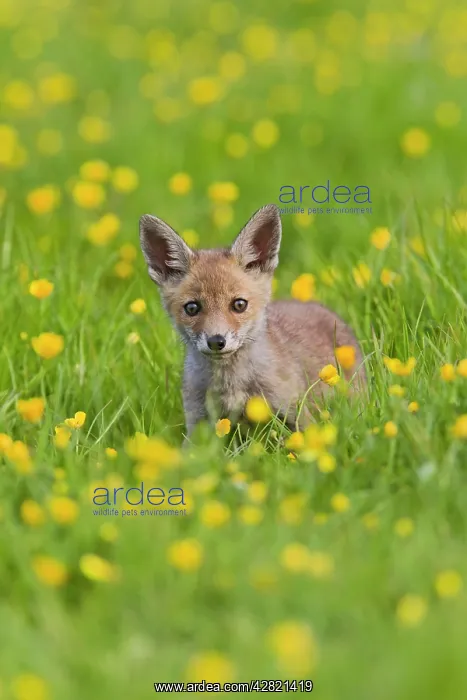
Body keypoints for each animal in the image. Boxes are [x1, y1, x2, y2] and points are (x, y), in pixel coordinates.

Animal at [139, 203, 366, 441]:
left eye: (239, 304)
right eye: (192, 308)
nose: (216, 341)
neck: (231, 384)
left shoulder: (296, 413)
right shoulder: (197, 423)